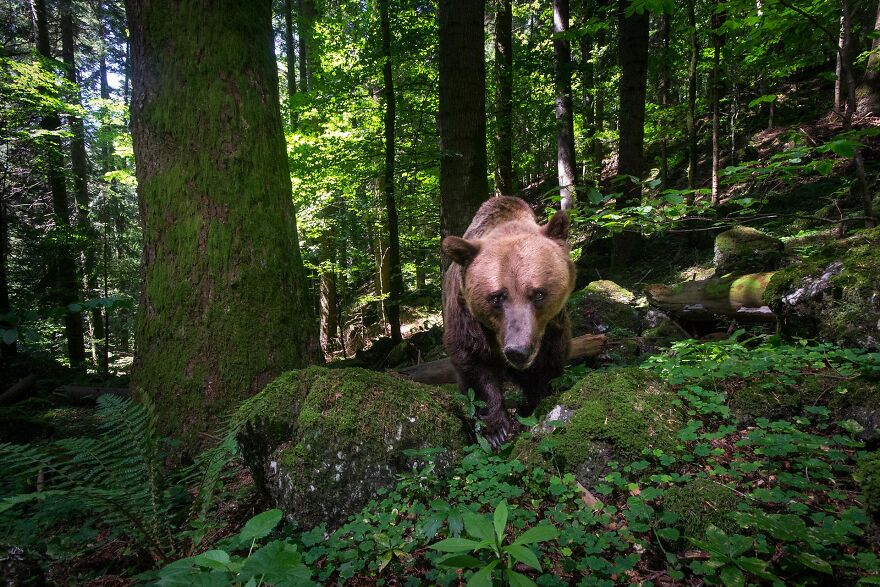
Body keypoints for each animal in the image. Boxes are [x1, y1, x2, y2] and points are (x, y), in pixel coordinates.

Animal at [441, 196, 576, 448]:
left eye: (538, 293)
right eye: (496, 297)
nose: (517, 350)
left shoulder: (552, 328)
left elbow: (547, 366)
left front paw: (533, 407)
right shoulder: (468, 321)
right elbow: (475, 368)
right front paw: (496, 430)